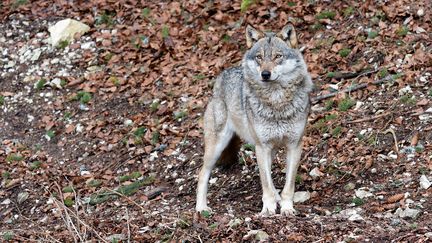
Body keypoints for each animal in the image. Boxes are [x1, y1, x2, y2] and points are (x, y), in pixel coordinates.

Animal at [197, 23, 314, 215]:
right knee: (202, 174)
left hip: (268, 149)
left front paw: (286, 208)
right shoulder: (262, 146)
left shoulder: (294, 146)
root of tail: (222, 75)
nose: (265, 74)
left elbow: (288, 185)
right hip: (217, 147)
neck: (276, 103)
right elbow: (265, 182)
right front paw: (267, 209)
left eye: (277, 56)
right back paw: (201, 208)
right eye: (259, 57)